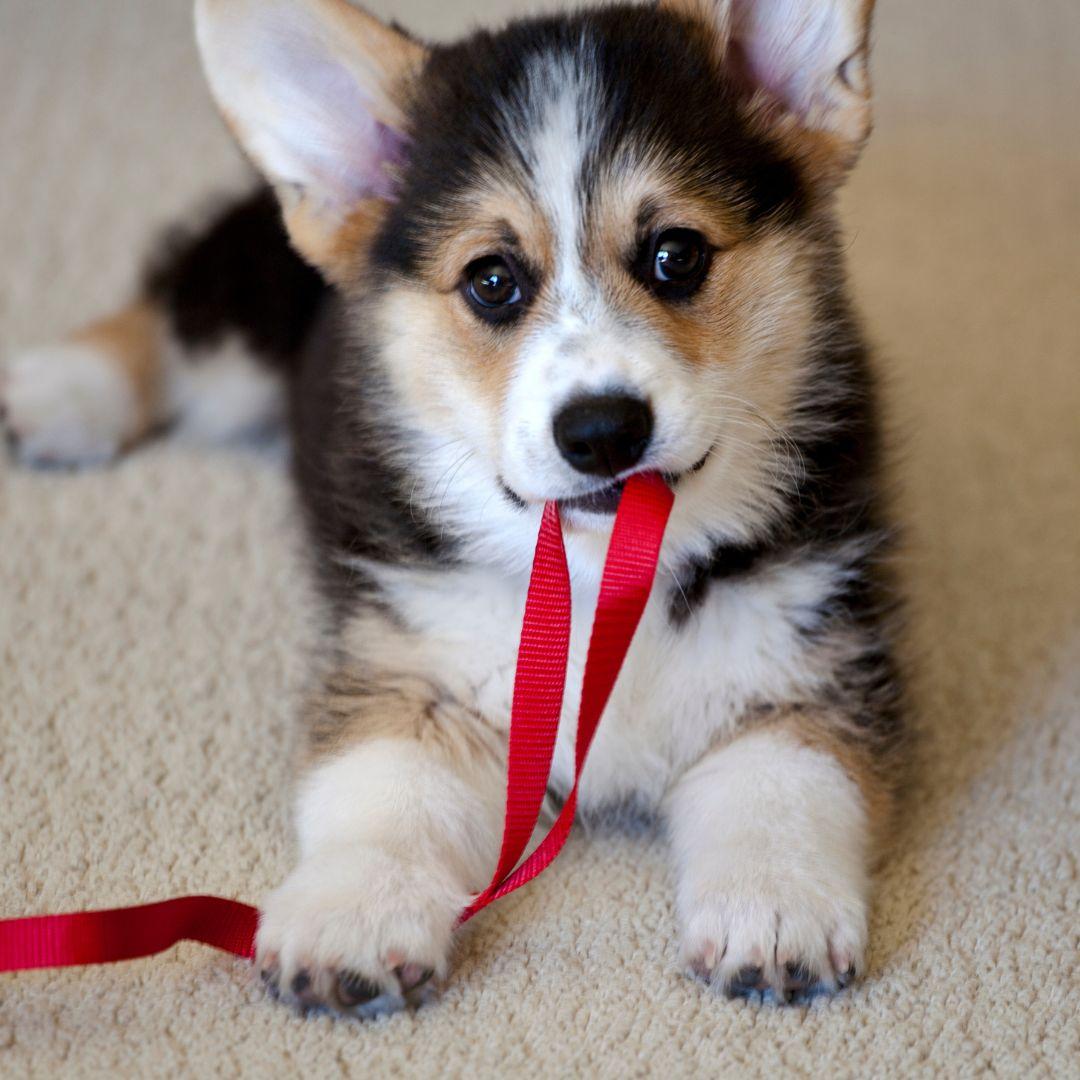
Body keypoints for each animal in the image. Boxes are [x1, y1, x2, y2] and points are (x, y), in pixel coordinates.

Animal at [4, 0, 907, 1010]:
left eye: (676, 256)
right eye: (492, 280)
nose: (602, 430)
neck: (596, 575)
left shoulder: (807, 673)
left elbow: (785, 791)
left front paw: (774, 909)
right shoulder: (411, 676)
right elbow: (387, 800)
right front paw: (353, 913)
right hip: (248, 308)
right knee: (173, 317)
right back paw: (61, 388)